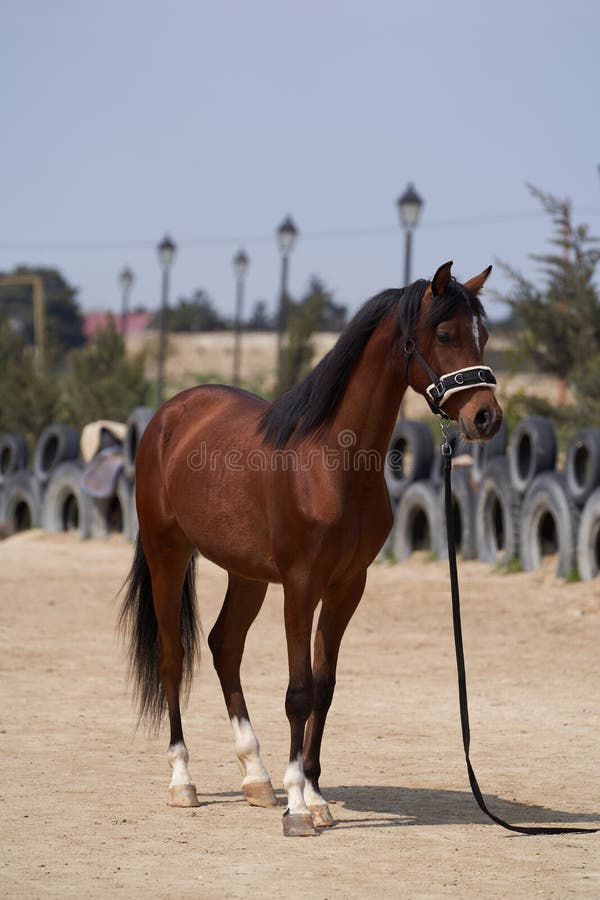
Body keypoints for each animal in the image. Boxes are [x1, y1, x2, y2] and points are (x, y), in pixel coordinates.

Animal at [118, 258, 502, 836]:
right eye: (445, 334)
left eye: (484, 334)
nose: (486, 417)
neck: (331, 462)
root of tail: (170, 414)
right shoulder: (300, 585)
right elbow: (298, 691)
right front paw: (298, 807)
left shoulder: (347, 586)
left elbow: (324, 686)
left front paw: (315, 795)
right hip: (169, 554)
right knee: (172, 656)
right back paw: (183, 782)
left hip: (247, 574)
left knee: (224, 646)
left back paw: (256, 777)